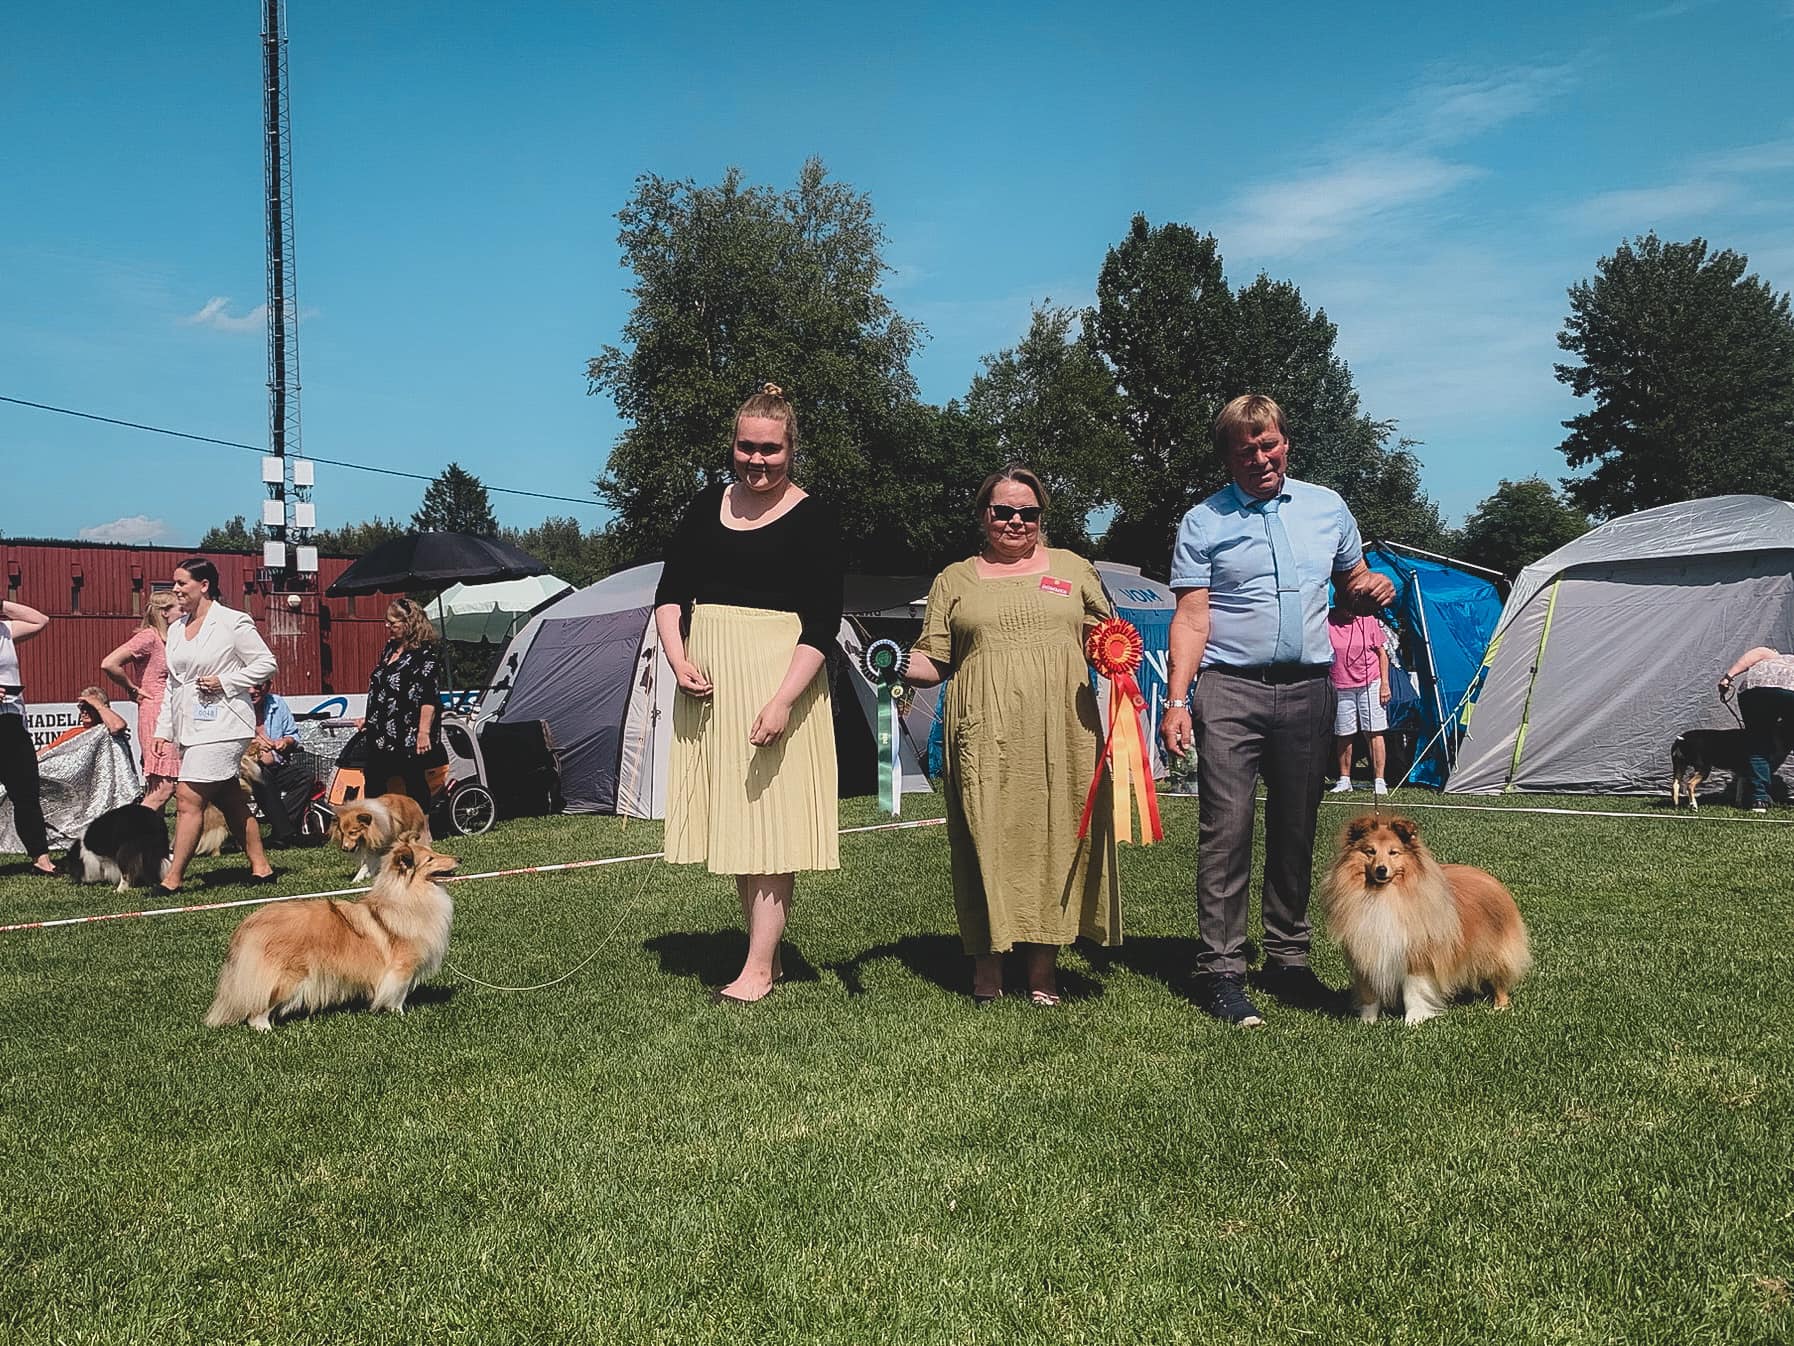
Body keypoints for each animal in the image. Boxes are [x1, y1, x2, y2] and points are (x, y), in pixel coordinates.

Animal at [204, 840, 457, 1031]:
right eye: (430, 859)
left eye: (434, 853)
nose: (459, 859)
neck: (408, 897)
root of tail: (248, 925)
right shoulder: (401, 968)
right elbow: (397, 994)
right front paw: (400, 1014)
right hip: (286, 977)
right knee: (258, 1009)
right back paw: (265, 1029)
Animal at [1320, 814, 1531, 1025]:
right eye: (1370, 851)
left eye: (1393, 852)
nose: (1381, 869)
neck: (1384, 895)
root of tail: (1492, 879)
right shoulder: (1367, 953)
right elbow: (1369, 994)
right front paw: (1367, 1022)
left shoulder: (1417, 955)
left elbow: (1413, 993)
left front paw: (1413, 1021)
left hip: (1492, 951)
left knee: (1500, 978)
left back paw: (1499, 1007)